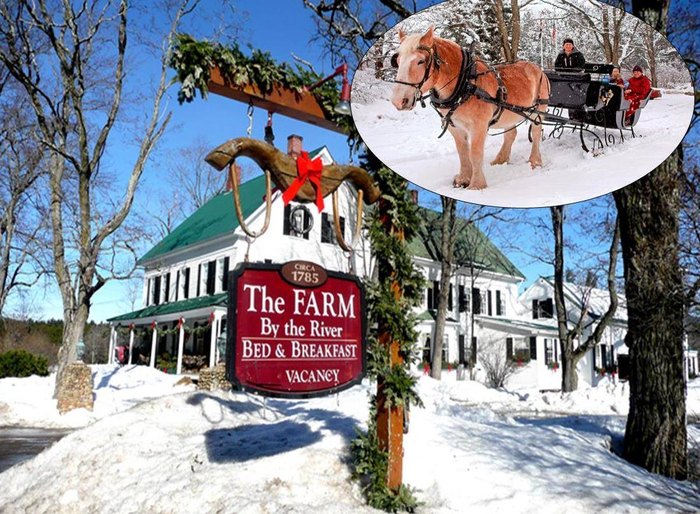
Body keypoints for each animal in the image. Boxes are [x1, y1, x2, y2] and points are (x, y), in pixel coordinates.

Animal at [392, 26, 548, 190]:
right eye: (397, 61)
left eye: (421, 61)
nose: (398, 101)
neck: (465, 83)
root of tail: (539, 69)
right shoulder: (455, 127)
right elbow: (462, 152)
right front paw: (463, 179)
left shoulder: (479, 126)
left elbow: (475, 153)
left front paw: (476, 185)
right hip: (511, 113)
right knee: (510, 134)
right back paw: (500, 160)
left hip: (538, 110)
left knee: (536, 133)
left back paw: (535, 161)